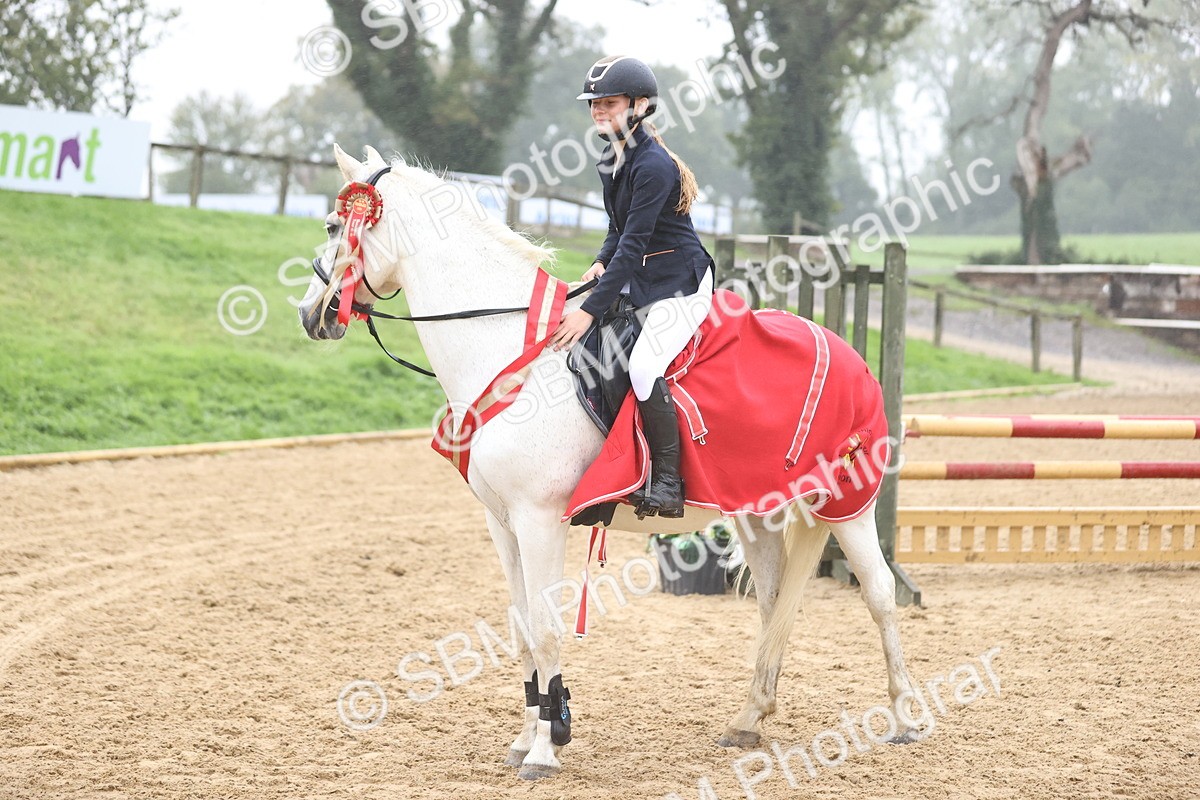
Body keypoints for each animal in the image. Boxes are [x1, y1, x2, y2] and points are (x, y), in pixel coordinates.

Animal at [297, 144, 923, 780]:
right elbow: (521, 629)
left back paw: (902, 716)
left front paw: (547, 748)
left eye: (331, 227)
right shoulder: (502, 523)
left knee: (877, 594)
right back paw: (749, 719)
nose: (310, 315)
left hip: (847, 504)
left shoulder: (540, 519)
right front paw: (526, 738)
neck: (515, 353)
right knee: (773, 603)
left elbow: (546, 631)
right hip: (759, 513)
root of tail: (850, 352)